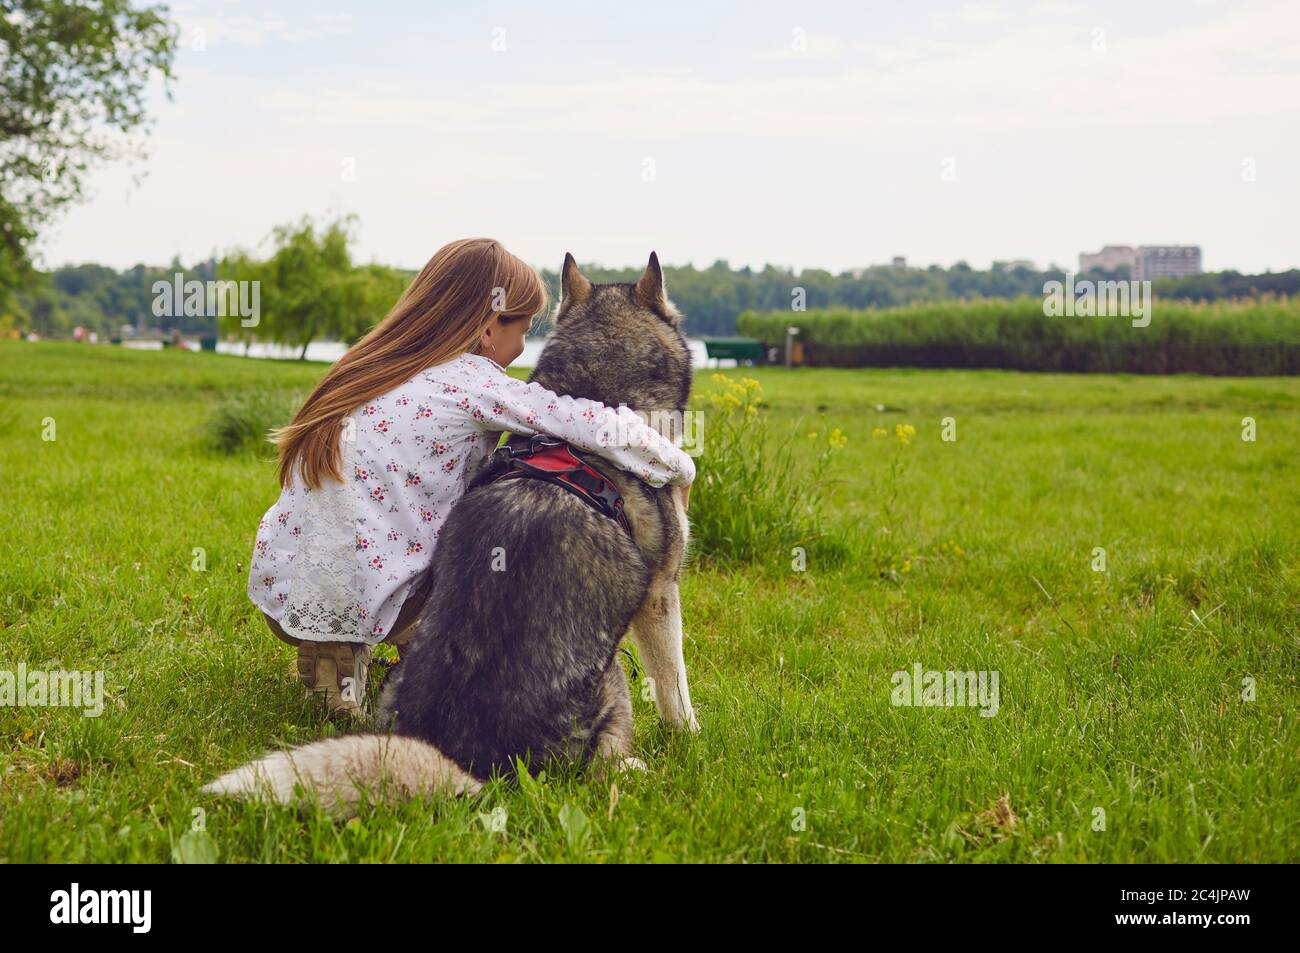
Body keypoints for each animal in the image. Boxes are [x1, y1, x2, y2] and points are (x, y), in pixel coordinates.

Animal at [205, 250, 702, 811]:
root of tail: (470, 759)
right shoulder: (660, 594)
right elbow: (675, 685)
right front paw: (690, 736)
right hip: (611, 675)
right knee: (604, 760)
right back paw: (636, 769)